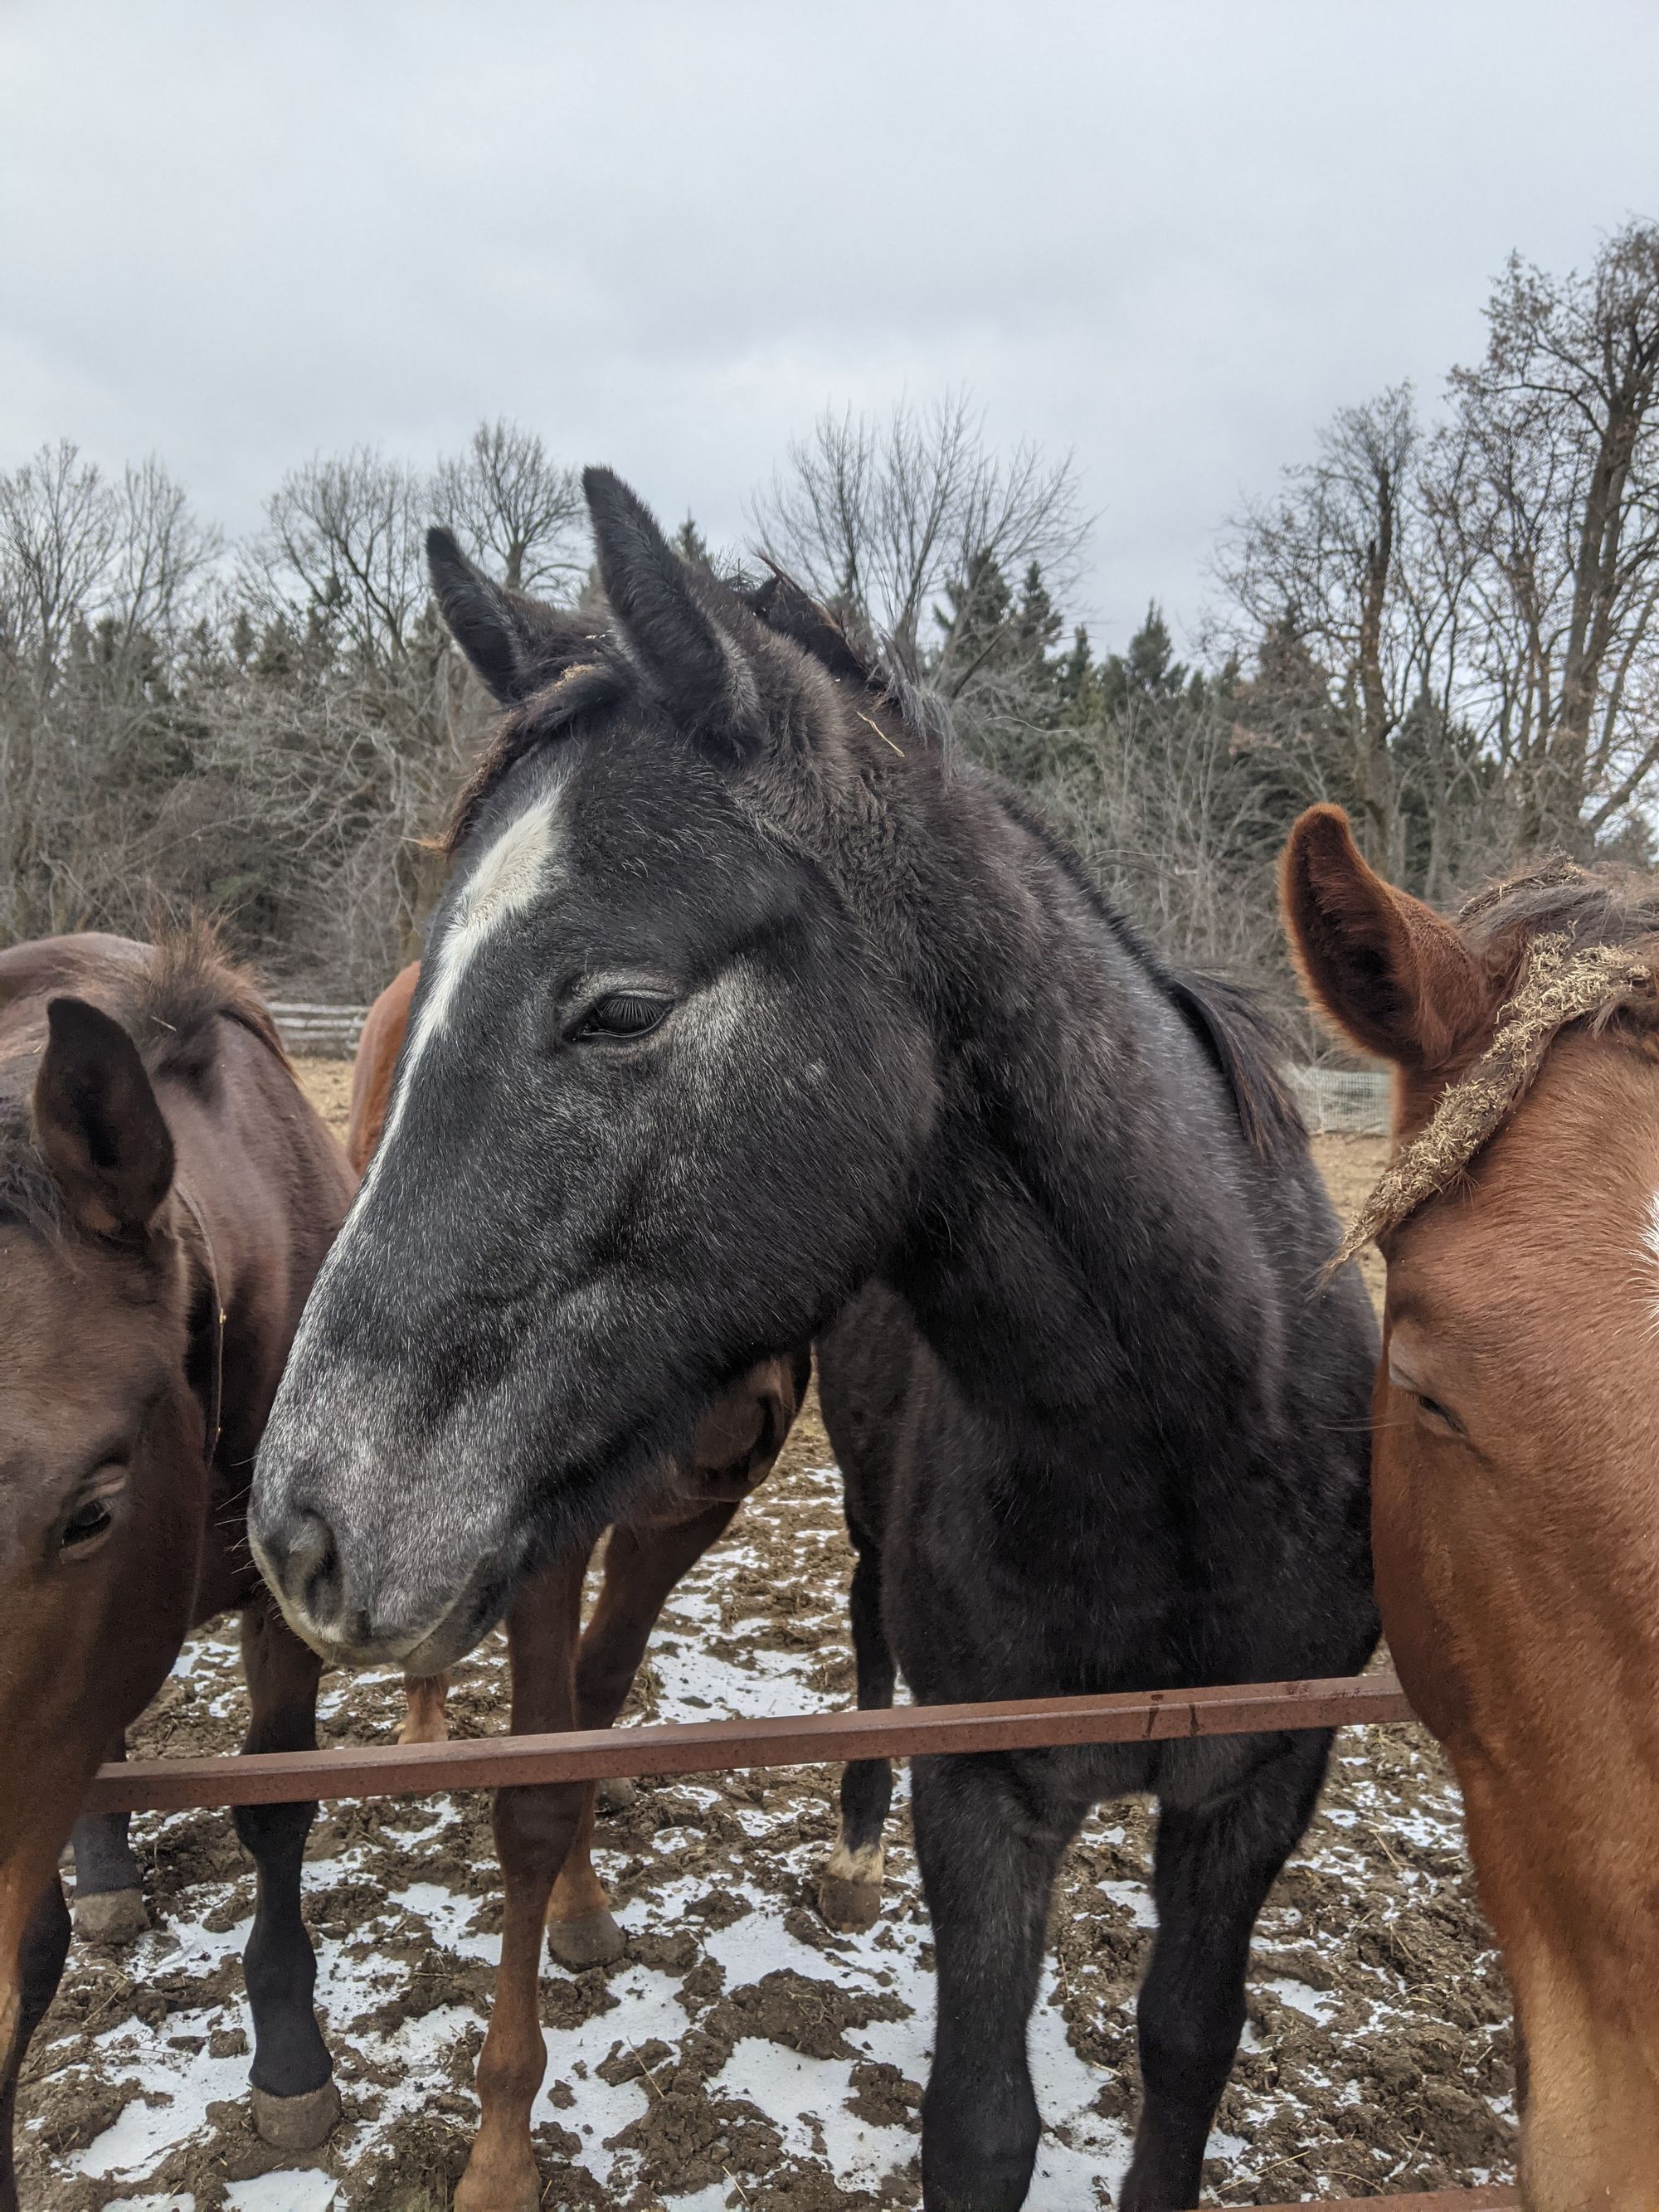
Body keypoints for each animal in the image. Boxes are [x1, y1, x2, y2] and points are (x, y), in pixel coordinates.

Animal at [345, 964, 814, 2212]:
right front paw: (501, 2153)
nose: (729, 1407)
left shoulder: (685, 1517)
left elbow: (592, 1711)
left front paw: (583, 1902)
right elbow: (535, 1794)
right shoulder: (536, 1535)